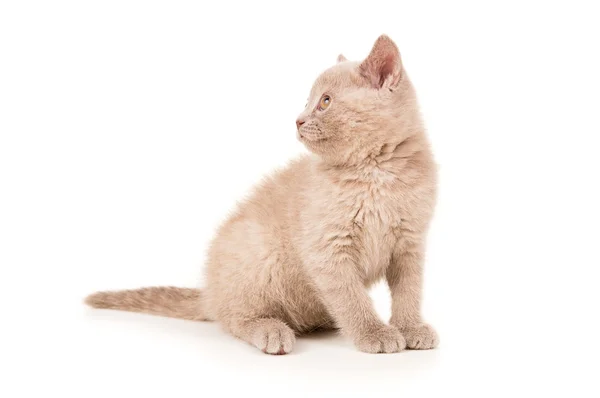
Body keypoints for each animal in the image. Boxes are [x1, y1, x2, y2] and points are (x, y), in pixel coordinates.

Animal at [86, 35, 438, 354]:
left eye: (325, 101)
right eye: (308, 101)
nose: (298, 120)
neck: (375, 172)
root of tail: (210, 291)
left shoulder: (410, 243)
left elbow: (409, 292)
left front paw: (411, 328)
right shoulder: (327, 249)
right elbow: (351, 298)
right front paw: (373, 333)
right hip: (258, 251)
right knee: (234, 317)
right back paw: (271, 331)